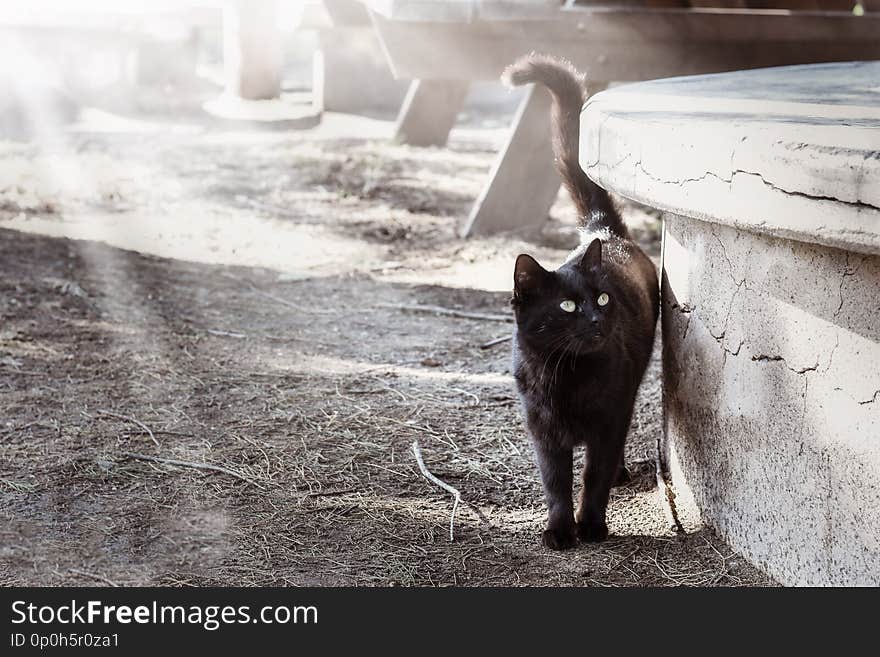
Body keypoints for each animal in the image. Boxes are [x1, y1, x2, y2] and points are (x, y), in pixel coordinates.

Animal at [506, 55, 656, 548]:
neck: (566, 376)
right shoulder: (543, 431)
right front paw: (559, 530)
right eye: (568, 307)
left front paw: (590, 526)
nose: (595, 319)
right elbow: (555, 482)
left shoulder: (608, 422)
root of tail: (603, 231)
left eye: (603, 298)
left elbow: (593, 475)